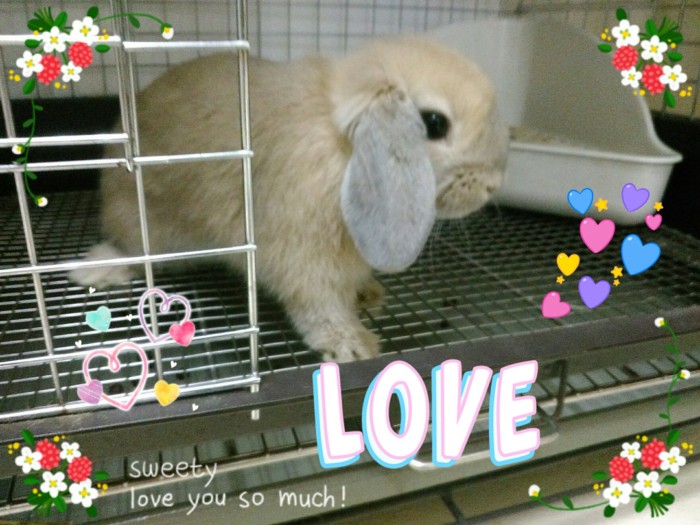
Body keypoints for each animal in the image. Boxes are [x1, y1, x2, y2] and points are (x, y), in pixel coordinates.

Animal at [70, 36, 509, 362]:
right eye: (435, 124)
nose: (493, 184)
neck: (341, 150)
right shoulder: (301, 255)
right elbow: (319, 305)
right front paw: (354, 344)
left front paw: (367, 294)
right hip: (146, 230)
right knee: (136, 256)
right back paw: (96, 268)